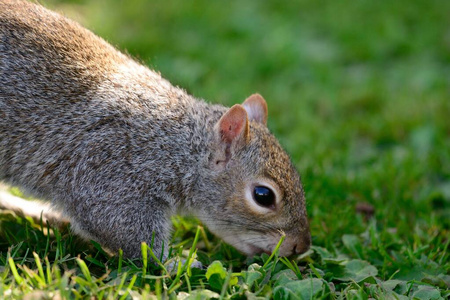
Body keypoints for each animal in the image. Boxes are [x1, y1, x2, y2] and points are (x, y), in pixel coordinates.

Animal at [0, 0, 310, 260]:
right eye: (263, 196)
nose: (302, 247)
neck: (180, 144)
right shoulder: (111, 168)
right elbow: (122, 228)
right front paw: (174, 262)